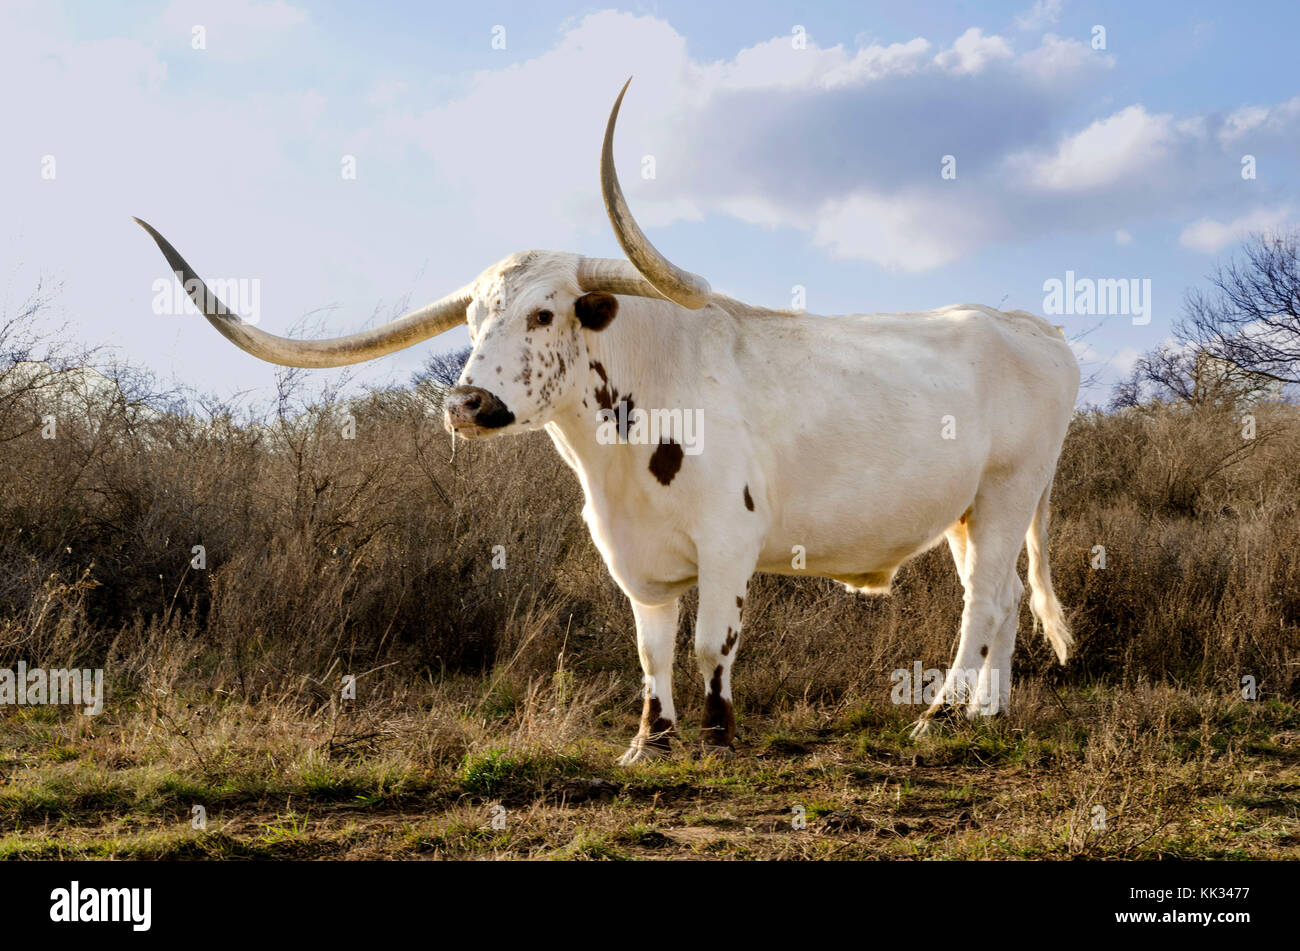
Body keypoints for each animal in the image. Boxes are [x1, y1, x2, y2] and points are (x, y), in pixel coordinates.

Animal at [135, 80, 1079, 763]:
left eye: (546, 313)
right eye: (471, 319)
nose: (464, 404)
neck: (621, 452)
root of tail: (1031, 327)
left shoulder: (730, 542)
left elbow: (709, 645)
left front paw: (717, 739)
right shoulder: (634, 561)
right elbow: (652, 651)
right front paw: (648, 742)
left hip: (1008, 493)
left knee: (982, 605)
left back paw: (940, 718)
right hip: (967, 512)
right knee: (997, 603)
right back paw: (986, 717)